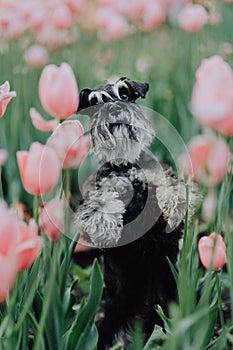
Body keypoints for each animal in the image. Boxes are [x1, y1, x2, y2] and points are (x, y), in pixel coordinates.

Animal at [76, 78, 198, 348]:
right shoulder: (102, 187)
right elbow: (99, 204)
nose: (114, 108)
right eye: (95, 102)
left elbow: (171, 186)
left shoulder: (159, 176)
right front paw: (106, 230)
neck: (127, 162)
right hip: (120, 305)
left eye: (124, 93)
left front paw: (172, 207)